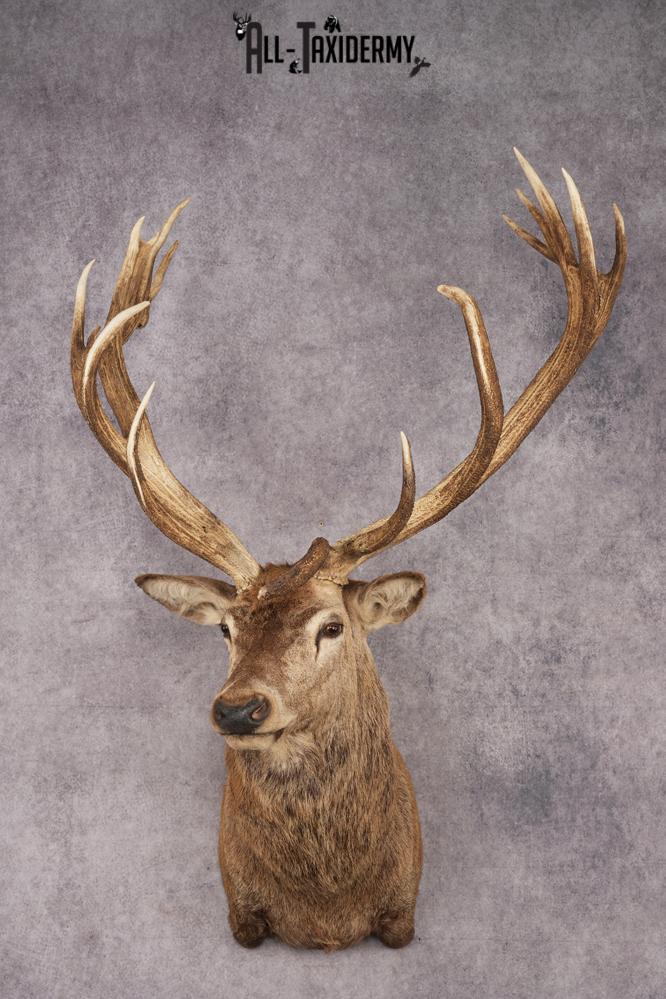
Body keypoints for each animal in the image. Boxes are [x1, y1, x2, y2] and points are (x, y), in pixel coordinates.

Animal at [70, 150, 626, 951]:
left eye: (331, 625)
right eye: (224, 629)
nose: (238, 709)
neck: (326, 913)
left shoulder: (402, 913)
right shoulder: (241, 914)